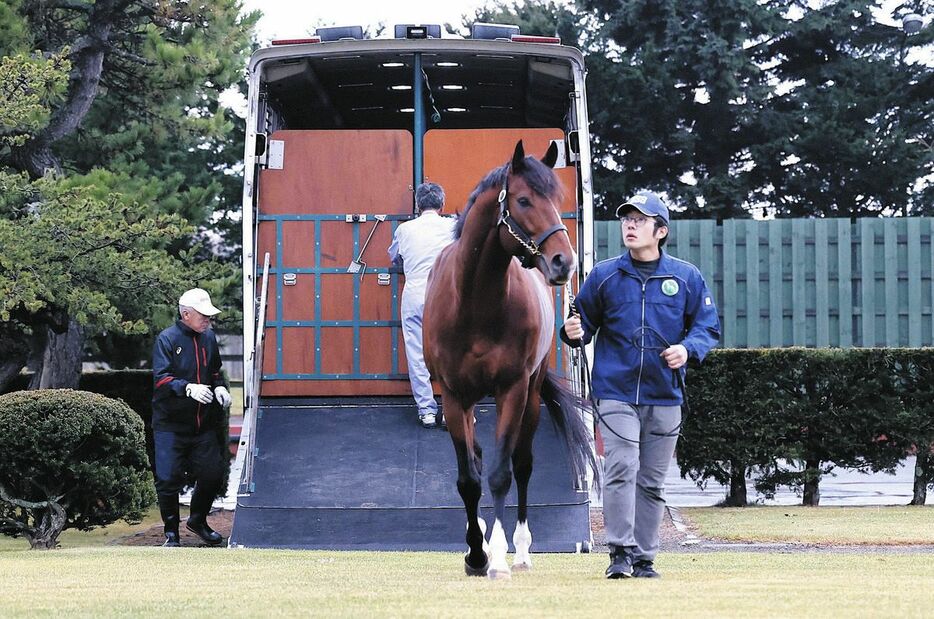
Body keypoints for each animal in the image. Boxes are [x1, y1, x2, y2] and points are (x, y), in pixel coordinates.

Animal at [426, 142, 596, 580]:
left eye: (556, 200)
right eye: (523, 200)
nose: (563, 262)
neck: (474, 303)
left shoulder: (512, 390)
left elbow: (502, 475)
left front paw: (497, 554)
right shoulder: (454, 395)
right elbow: (469, 479)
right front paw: (475, 553)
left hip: (531, 397)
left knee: (520, 464)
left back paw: (519, 549)